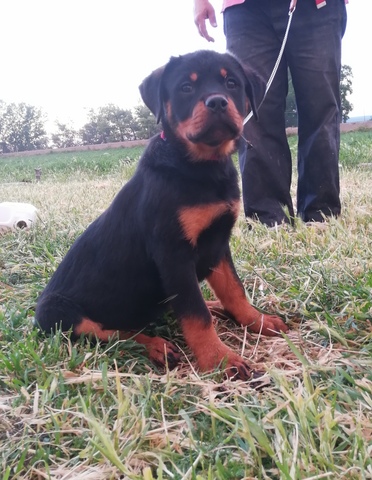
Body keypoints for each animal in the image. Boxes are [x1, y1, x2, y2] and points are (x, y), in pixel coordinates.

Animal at [35, 48, 290, 378]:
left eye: (231, 83)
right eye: (186, 87)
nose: (217, 102)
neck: (201, 167)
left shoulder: (218, 243)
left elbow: (234, 289)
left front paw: (257, 321)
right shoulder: (173, 253)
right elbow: (195, 315)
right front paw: (220, 360)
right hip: (55, 312)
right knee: (108, 331)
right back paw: (155, 345)